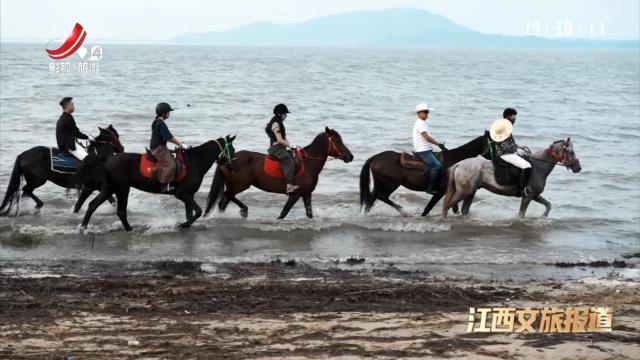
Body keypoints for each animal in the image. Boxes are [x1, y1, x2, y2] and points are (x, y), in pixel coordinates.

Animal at [80, 135, 238, 231]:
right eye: (232, 149)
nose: (235, 166)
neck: (196, 161)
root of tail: (107, 159)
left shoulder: (189, 195)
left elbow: (190, 213)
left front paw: (185, 225)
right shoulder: (182, 194)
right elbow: (198, 211)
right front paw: (182, 225)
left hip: (110, 187)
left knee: (92, 205)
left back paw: (83, 227)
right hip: (122, 188)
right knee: (120, 211)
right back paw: (129, 229)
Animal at [206, 128, 352, 221]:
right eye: (338, 141)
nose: (351, 157)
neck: (308, 163)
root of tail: (226, 159)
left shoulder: (306, 193)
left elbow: (309, 213)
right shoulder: (295, 194)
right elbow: (284, 212)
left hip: (236, 185)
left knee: (226, 200)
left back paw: (242, 211)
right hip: (240, 185)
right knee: (225, 198)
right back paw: (240, 211)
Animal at [360, 132, 490, 217]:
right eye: (492, 143)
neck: (455, 160)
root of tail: (375, 157)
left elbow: (453, 208)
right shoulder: (440, 192)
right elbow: (428, 208)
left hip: (380, 183)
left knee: (372, 198)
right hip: (390, 184)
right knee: (381, 196)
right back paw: (403, 211)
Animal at [442, 138, 584, 217]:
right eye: (571, 152)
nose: (578, 168)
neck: (538, 166)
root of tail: (459, 164)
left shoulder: (535, 195)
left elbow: (548, 205)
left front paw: (544, 217)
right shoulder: (528, 196)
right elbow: (521, 215)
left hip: (470, 192)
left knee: (463, 210)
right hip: (464, 192)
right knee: (446, 206)